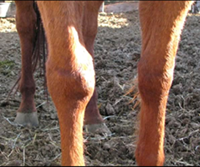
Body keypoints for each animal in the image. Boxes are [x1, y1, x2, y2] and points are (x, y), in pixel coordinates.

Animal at [14, 0, 194, 166]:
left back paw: (94, 117)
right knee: (25, 25)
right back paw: (27, 107)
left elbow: (157, 75)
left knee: (88, 30)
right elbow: (72, 79)